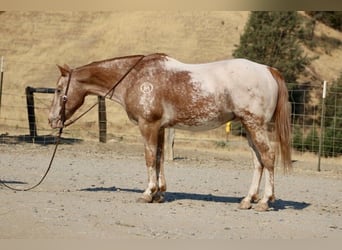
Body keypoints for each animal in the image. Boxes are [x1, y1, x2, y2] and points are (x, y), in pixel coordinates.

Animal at [48, 52, 292, 211]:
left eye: (59, 90)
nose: (52, 120)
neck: (136, 77)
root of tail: (269, 70)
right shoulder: (160, 127)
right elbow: (159, 158)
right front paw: (159, 193)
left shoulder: (148, 125)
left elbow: (149, 158)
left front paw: (147, 194)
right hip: (250, 128)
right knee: (258, 162)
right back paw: (247, 200)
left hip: (255, 125)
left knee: (268, 157)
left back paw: (264, 201)